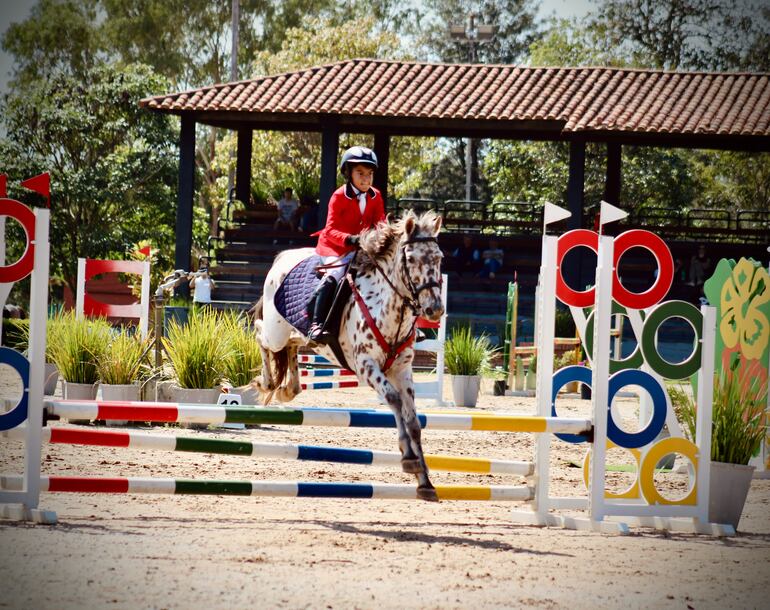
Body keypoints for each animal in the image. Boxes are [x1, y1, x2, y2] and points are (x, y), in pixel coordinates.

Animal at [252, 210, 444, 498]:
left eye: (439, 257)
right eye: (411, 259)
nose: (435, 309)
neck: (389, 307)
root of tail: (283, 258)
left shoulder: (402, 369)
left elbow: (413, 422)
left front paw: (424, 481)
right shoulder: (366, 366)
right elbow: (393, 399)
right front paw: (409, 459)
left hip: (296, 334)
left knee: (293, 345)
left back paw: (289, 388)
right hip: (275, 333)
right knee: (259, 333)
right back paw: (267, 382)